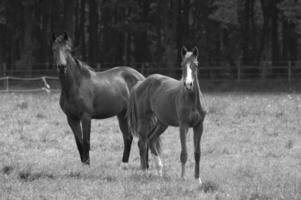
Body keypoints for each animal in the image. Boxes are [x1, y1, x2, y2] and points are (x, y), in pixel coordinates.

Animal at [52, 32, 145, 164]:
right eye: (54, 49)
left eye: (68, 50)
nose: (61, 66)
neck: (76, 85)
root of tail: (141, 77)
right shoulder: (71, 119)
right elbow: (79, 143)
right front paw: (83, 164)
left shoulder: (86, 117)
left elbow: (86, 142)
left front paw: (87, 164)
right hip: (122, 114)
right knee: (127, 138)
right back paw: (124, 163)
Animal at [126, 47, 206, 184]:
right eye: (182, 65)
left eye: (196, 64)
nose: (188, 84)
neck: (191, 100)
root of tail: (139, 84)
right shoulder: (183, 126)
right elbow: (184, 153)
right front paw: (183, 178)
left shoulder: (199, 126)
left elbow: (197, 153)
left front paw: (198, 180)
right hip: (144, 120)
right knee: (142, 143)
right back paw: (145, 172)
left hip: (162, 123)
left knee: (151, 139)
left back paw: (159, 171)